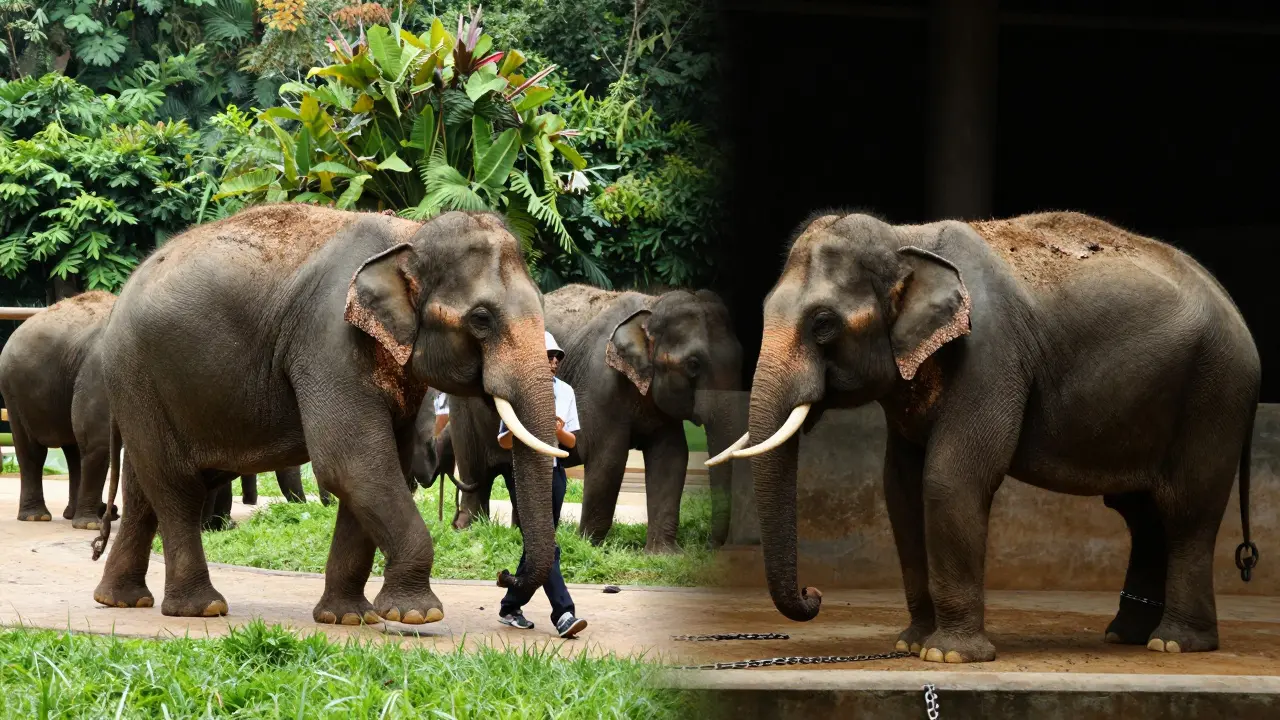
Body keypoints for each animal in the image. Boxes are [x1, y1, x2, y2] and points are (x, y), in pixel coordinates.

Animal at [0, 290, 120, 528]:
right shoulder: (99, 373)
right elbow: (97, 438)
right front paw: (90, 526)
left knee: (73, 450)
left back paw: (77, 514)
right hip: (14, 391)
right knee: (32, 449)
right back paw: (37, 517)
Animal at [89, 204, 566, 626]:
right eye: (481, 319)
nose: (504, 576)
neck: (410, 234)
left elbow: (377, 469)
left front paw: (349, 618)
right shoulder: (327, 340)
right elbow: (352, 464)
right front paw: (417, 614)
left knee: (144, 489)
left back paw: (121, 600)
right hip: (137, 375)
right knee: (176, 487)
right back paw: (199, 608)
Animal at [540, 284, 744, 552]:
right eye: (693, 364)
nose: (710, 546)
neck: (652, 306)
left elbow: (671, 457)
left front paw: (664, 554)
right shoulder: (601, 384)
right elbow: (608, 459)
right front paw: (588, 546)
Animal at [714, 210, 1261, 663]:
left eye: (824, 324)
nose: (814, 595)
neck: (907, 239)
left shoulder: (991, 354)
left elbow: (949, 480)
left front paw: (947, 655)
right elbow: (900, 488)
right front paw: (911, 645)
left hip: (1215, 394)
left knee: (1186, 510)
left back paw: (1175, 644)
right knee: (1142, 515)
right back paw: (1126, 636)